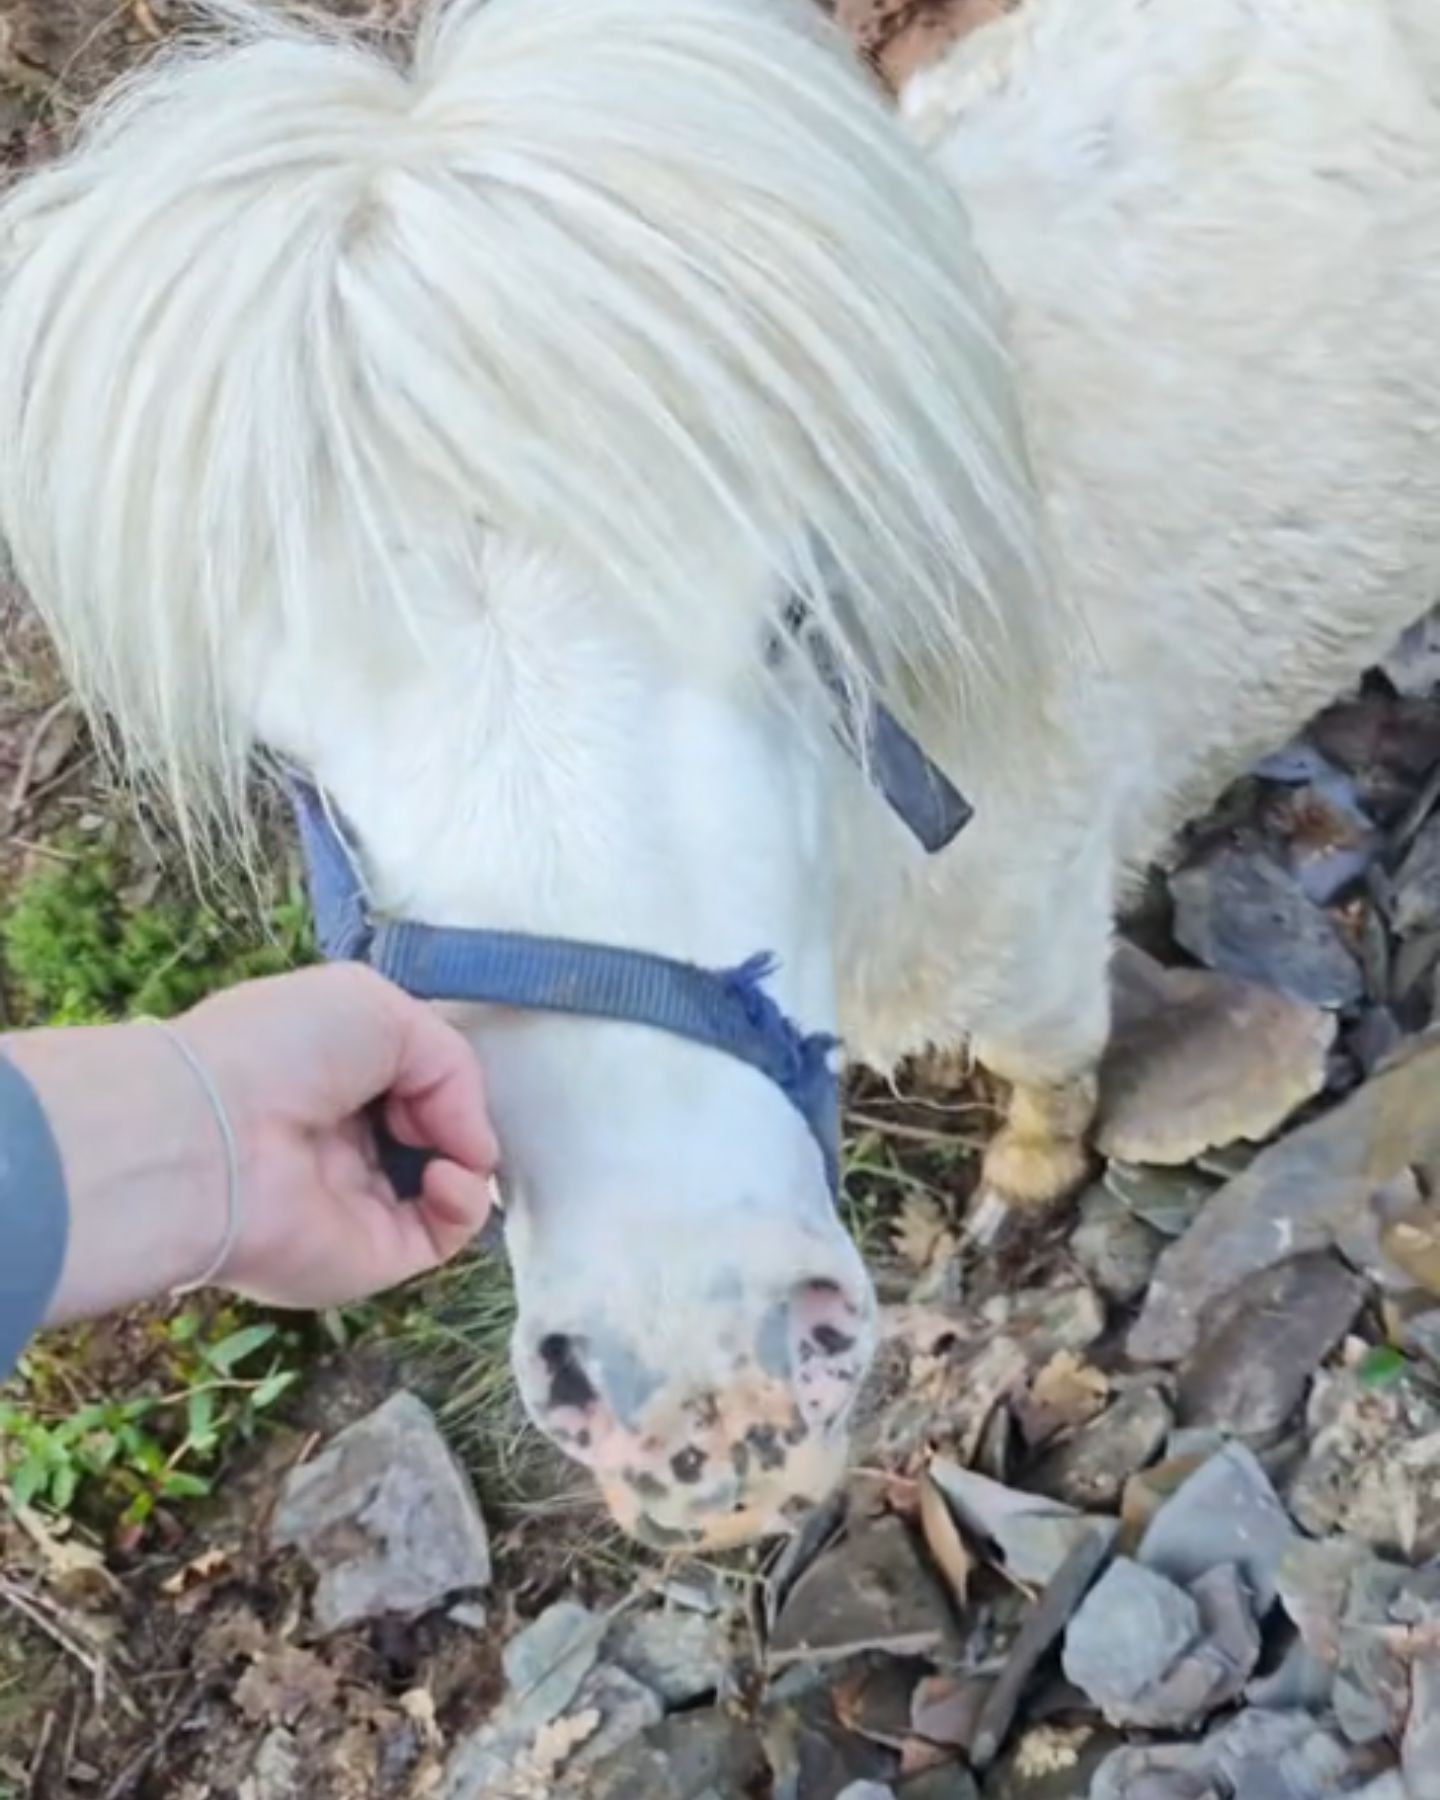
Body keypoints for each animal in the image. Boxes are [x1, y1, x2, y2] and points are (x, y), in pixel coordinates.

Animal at [1, 0, 1438, 1549]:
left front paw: (1027, 1181)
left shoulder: (1043, 935)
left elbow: (1044, 1069)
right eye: (290, 763)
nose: (698, 1399)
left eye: (792, 618)